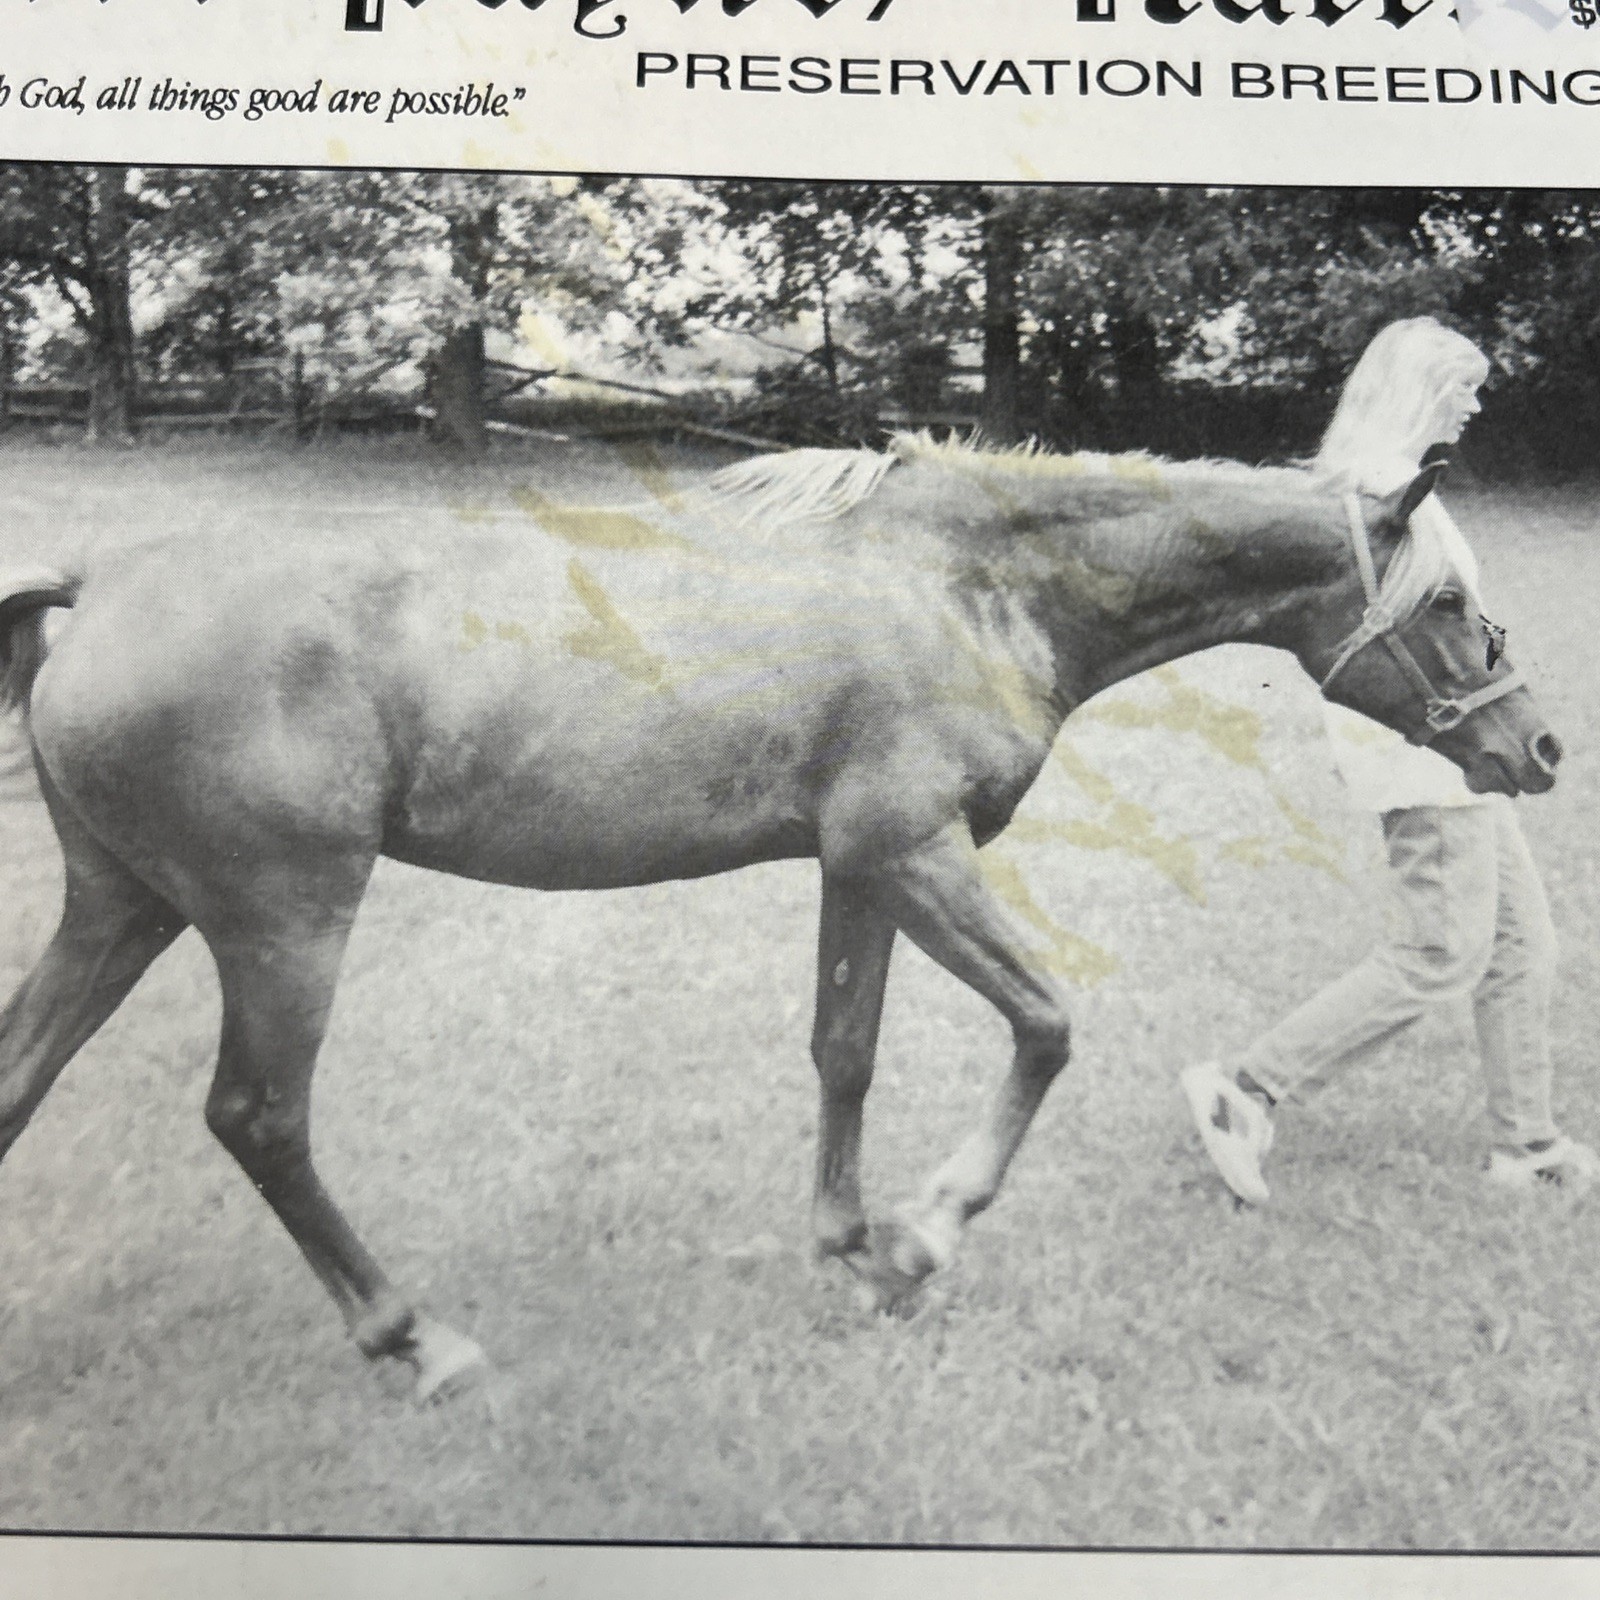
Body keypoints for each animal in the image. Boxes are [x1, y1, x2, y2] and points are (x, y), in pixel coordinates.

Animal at [0, 436, 1561, 1402]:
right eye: (1453, 604)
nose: (1536, 750)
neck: (968, 583)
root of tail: (103, 584)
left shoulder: (855, 869)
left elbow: (843, 1052)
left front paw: (851, 1247)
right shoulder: (912, 852)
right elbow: (1047, 1027)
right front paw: (926, 1234)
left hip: (121, 910)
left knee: (26, 1082)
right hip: (283, 921)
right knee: (261, 1119)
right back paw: (415, 1339)